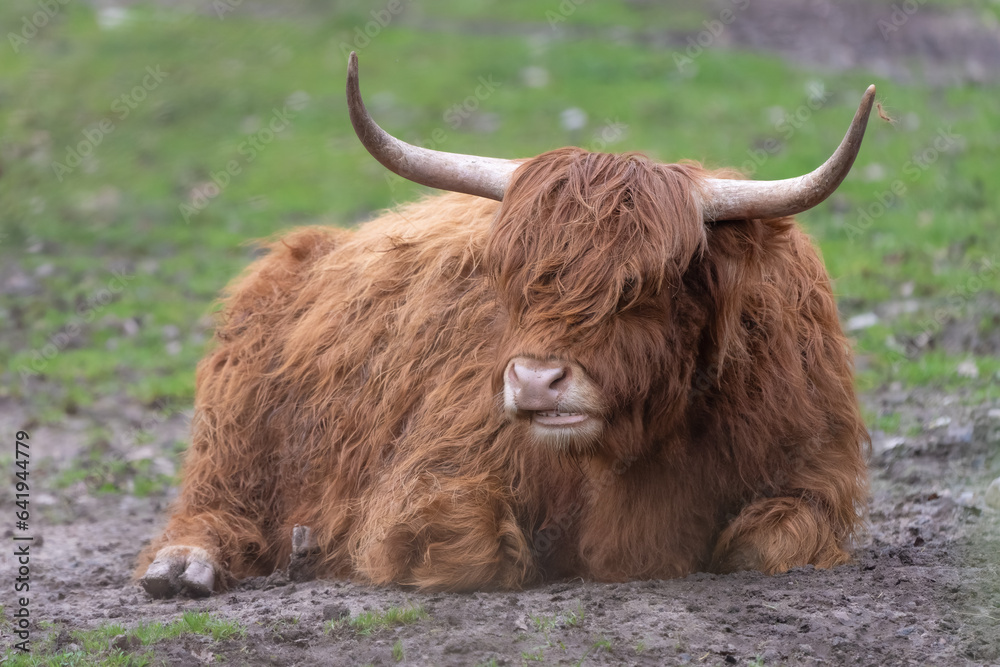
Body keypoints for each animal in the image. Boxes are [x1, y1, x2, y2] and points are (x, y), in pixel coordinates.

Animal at [137, 53, 872, 596]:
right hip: (233, 420)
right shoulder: (429, 472)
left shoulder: (814, 474)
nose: (536, 381)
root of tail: (306, 246)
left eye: (640, 288)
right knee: (211, 493)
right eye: (508, 277)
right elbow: (470, 544)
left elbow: (761, 546)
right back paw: (187, 564)